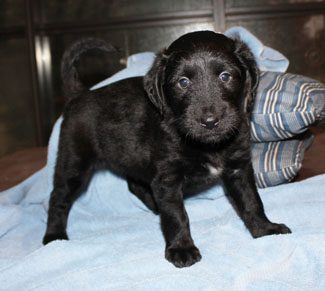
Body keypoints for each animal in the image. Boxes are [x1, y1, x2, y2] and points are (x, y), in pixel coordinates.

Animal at [43, 32, 292, 270]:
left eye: (225, 76)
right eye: (183, 82)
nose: (210, 121)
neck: (205, 145)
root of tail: (81, 94)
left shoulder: (238, 168)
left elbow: (252, 201)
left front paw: (265, 229)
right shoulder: (168, 178)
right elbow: (176, 216)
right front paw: (182, 249)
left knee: (135, 184)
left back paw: (154, 205)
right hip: (74, 162)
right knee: (58, 198)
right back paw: (54, 236)